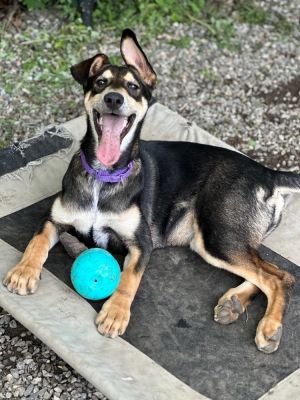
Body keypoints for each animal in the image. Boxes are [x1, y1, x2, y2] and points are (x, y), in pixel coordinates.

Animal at [2, 28, 298, 354]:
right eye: (101, 82)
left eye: (133, 87)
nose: (114, 98)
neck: (104, 176)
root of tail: (267, 173)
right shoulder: (54, 220)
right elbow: (37, 241)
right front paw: (24, 271)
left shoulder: (141, 243)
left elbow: (128, 279)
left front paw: (115, 313)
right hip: (214, 240)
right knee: (272, 273)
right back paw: (234, 302)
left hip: (218, 234)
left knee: (280, 277)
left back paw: (269, 327)